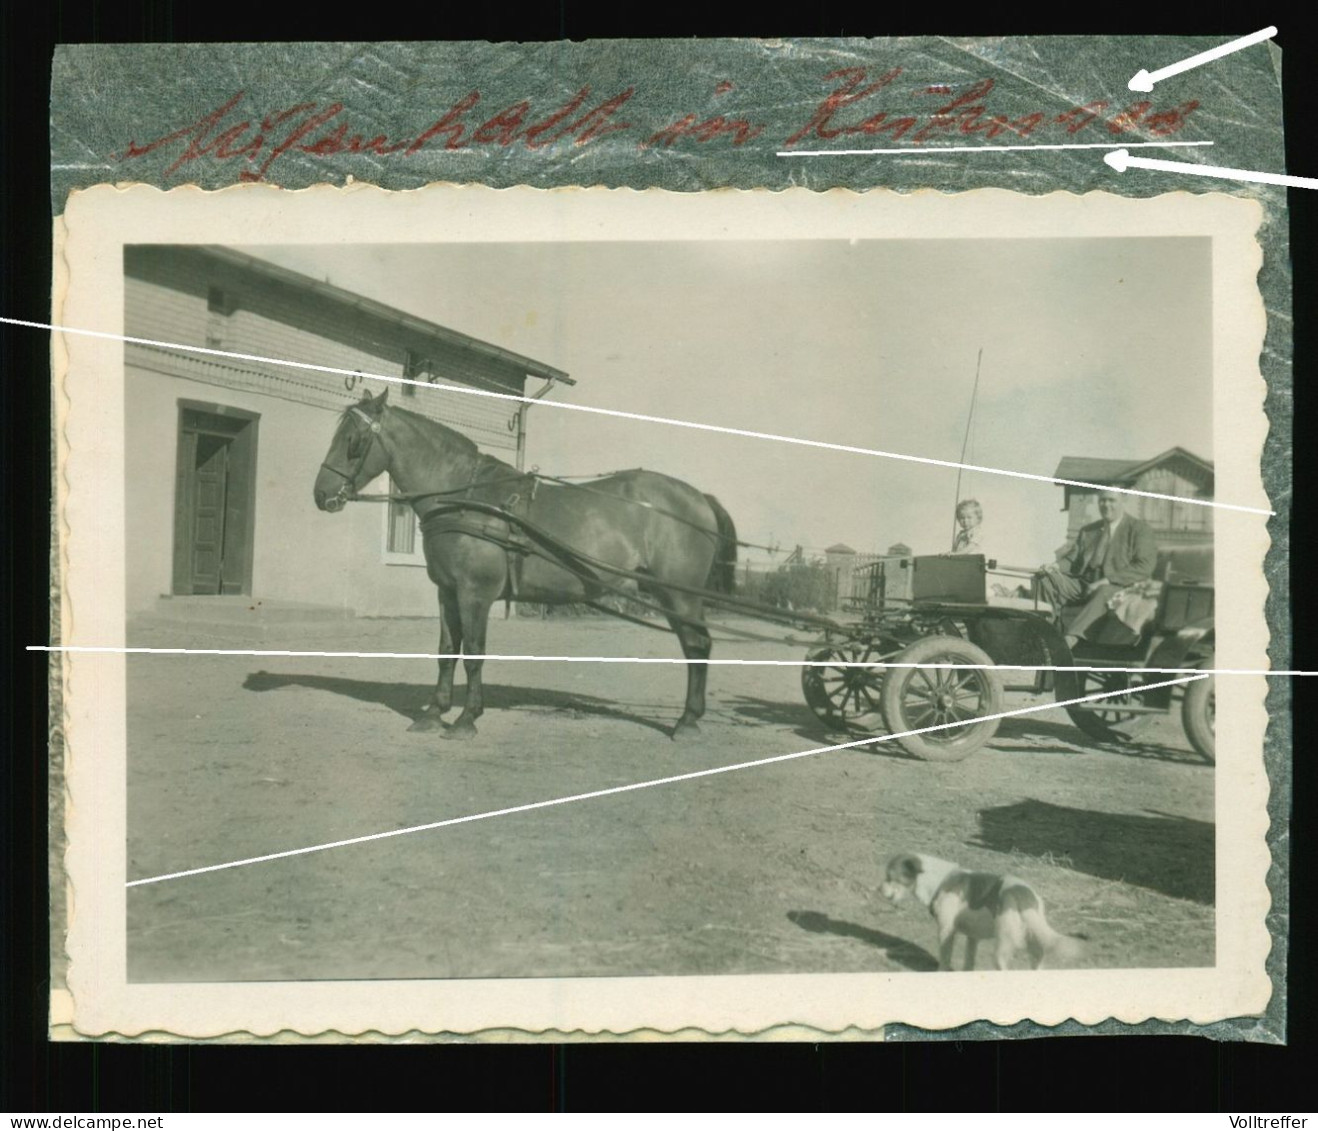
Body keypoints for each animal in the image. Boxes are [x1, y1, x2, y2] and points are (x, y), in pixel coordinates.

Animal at [312, 387, 738, 738]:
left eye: (352, 441)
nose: (321, 494)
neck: (466, 498)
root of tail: (698, 497)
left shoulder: (475, 594)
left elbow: (474, 654)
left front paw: (466, 719)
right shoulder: (447, 592)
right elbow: (447, 651)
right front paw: (433, 713)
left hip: (680, 595)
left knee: (697, 644)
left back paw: (687, 722)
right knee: (693, 645)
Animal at [880, 848, 1086, 964]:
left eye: (890, 877)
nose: (878, 889)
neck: (939, 881)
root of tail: (1023, 894)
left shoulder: (946, 931)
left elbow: (944, 961)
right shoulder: (973, 938)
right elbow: (968, 964)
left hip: (1002, 948)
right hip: (1035, 941)